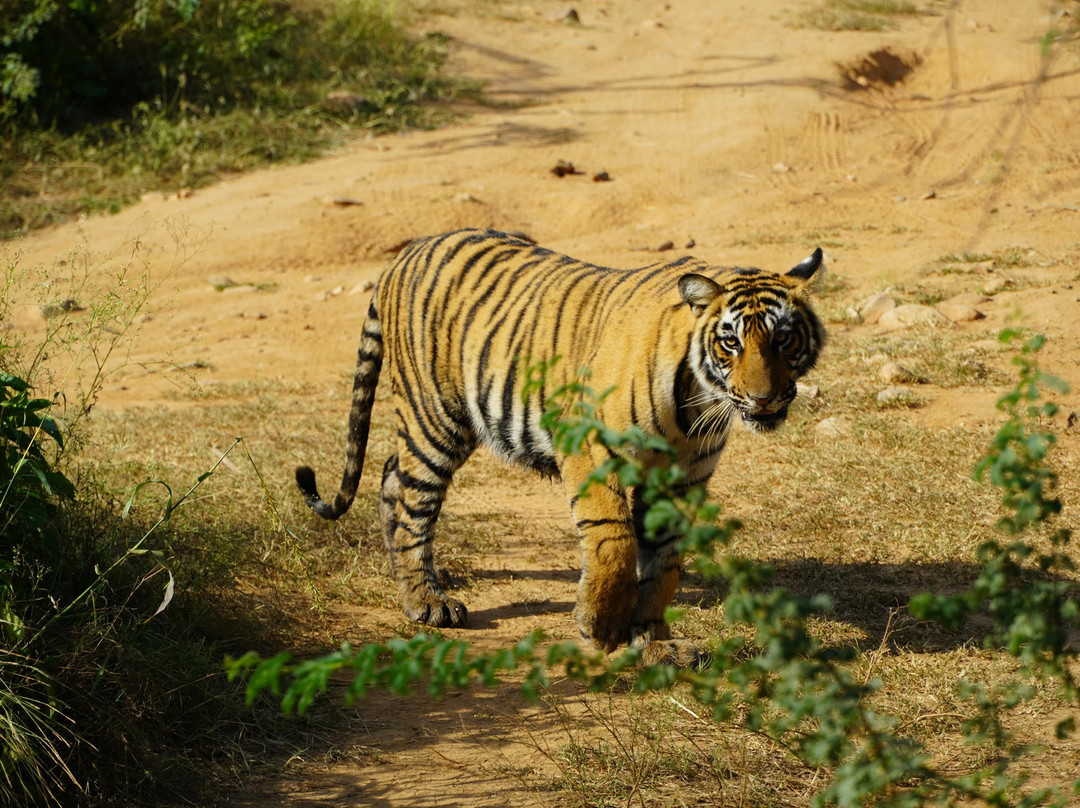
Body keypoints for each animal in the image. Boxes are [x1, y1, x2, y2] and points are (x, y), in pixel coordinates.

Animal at [296, 228, 826, 666]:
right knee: (413, 499)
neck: (698, 397)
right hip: (435, 417)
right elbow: (614, 539)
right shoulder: (590, 446)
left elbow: (664, 567)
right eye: (731, 343)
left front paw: (654, 642)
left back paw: (408, 579)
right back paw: (427, 601)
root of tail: (408, 251)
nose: (764, 398)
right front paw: (602, 627)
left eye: (783, 339)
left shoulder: (683, 477)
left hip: (458, 423)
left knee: (391, 473)